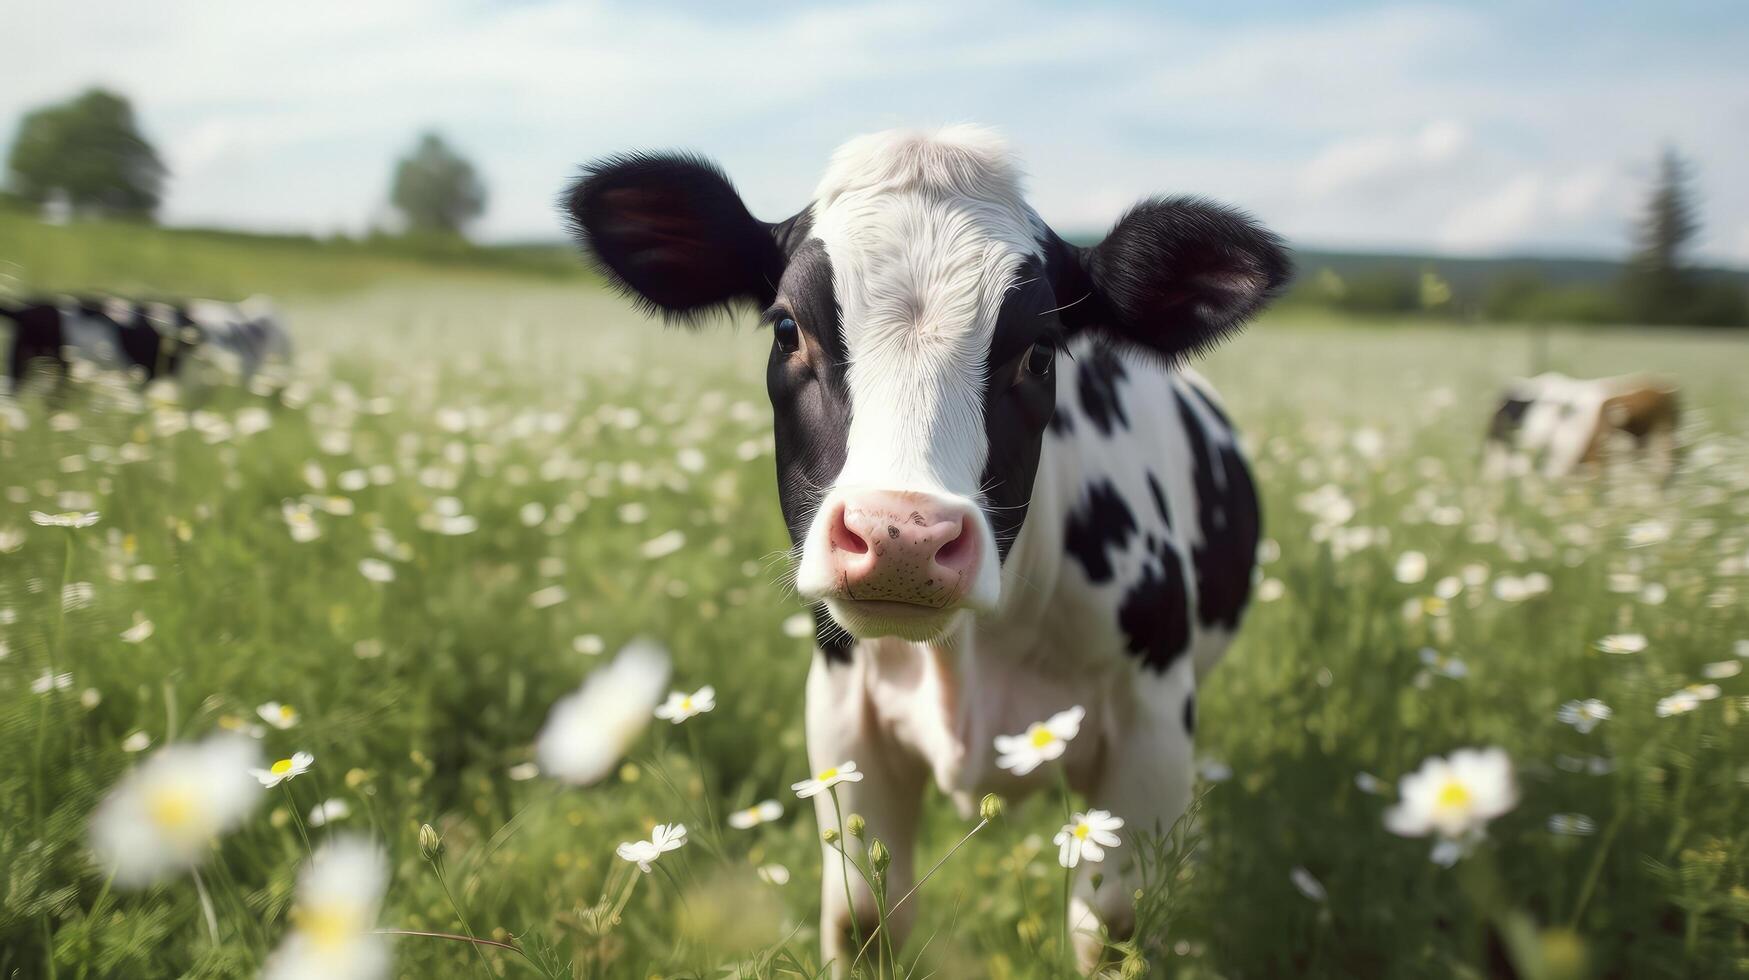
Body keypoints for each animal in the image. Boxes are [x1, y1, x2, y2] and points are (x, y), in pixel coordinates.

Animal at [559, 124, 1287, 973]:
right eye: (786, 327)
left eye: (1041, 351)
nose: (900, 536)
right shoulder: (843, 721)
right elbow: (865, 919)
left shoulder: (1153, 727)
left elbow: (1110, 928)